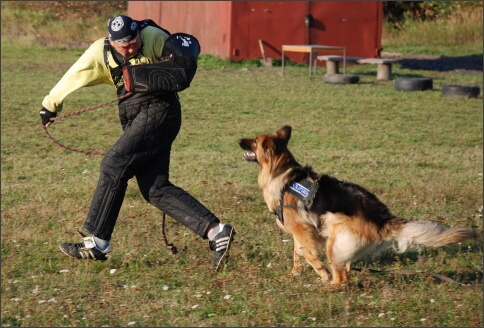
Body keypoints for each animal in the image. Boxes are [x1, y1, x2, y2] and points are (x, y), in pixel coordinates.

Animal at [238, 125, 476, 284]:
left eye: (255, 141)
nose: (239, 139)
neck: (283, 174)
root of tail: (384, 218)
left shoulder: (303, 230)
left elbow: (309, 255)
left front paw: (321, 274)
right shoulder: (301, 233)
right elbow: (298, 256)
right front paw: (293, 275)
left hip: (333, 231)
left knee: (341, 278)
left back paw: (329, 286)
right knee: (346, 269)